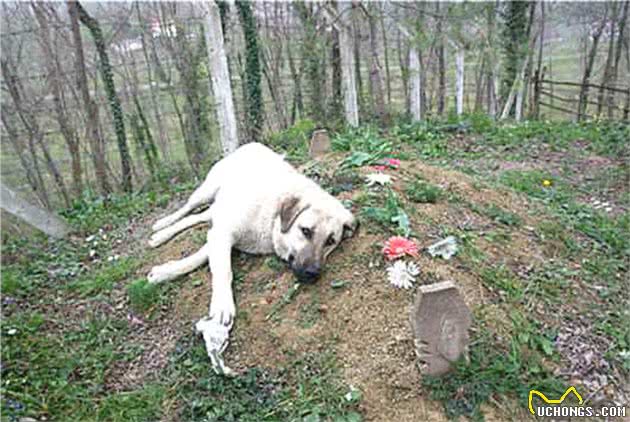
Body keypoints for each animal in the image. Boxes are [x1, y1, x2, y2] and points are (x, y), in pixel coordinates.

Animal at [145, 144, 358, 372]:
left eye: (330, 241)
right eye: (306, 231)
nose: (313, 273)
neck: (272, 217)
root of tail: (253, 145)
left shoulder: (220, 232)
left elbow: (200, 256)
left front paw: (165, 271)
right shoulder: (224, 233)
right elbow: (223, 271)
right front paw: (222, 305)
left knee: (199, 217)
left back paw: (161, 235)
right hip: (206, 192)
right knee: (188, 208)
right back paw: (163, 225)